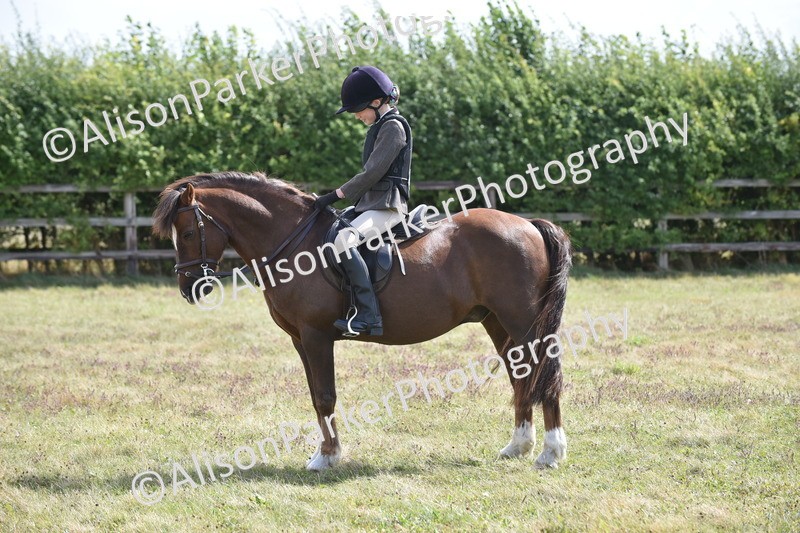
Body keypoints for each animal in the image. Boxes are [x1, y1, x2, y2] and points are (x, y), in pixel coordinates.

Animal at [152, 171, 572, 471]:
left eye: (187, 233)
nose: (188, 288)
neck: (292, 242)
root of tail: (528, 225)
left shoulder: (316, 335)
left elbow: (325, 395)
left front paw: (327, 458)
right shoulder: (300, 339)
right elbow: (315, 396)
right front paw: (324, 452)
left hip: (522, 321)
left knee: (546, 373)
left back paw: (550, 453)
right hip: (498, 323)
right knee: (522, 374)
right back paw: (518, 446)